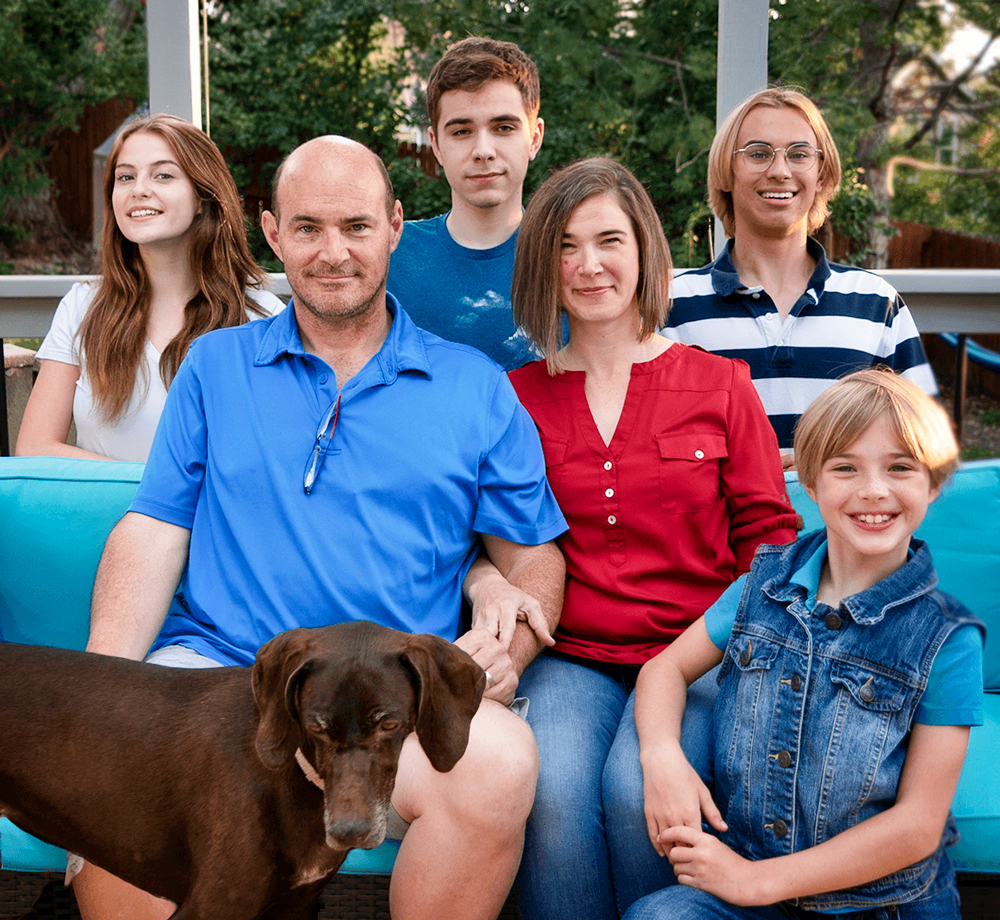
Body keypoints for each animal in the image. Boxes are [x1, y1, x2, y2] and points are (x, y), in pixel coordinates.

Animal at [0, 620, 484, 916]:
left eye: (390, 724)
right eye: (316, 726)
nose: (349, 831)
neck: (293, 776)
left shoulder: (293, 908)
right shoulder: (210, 908)